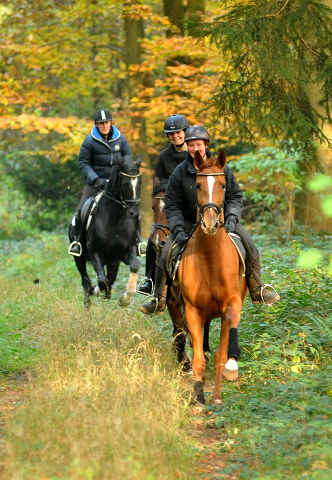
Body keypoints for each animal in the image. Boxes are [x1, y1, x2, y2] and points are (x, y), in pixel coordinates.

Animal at [68, 156, 143, 310]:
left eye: (140, 182)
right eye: (124, 183)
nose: (135, 213)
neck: (115, 219)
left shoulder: (127, 251)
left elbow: (134, 265)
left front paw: (125, 300)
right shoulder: (95, 252)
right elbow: (102, 281)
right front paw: (96, 290)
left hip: (113, 263)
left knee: (110, 283)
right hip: (79, 258)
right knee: (86, 282)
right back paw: (89, 304)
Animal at [175, 151, 248, 404]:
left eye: (224, 185)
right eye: (197, 185)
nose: (209, 223)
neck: (210, 259)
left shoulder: (231, 304)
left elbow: (221, 353)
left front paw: (217, 395)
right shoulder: (192, 310)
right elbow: (198, 358)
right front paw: (199, 396)